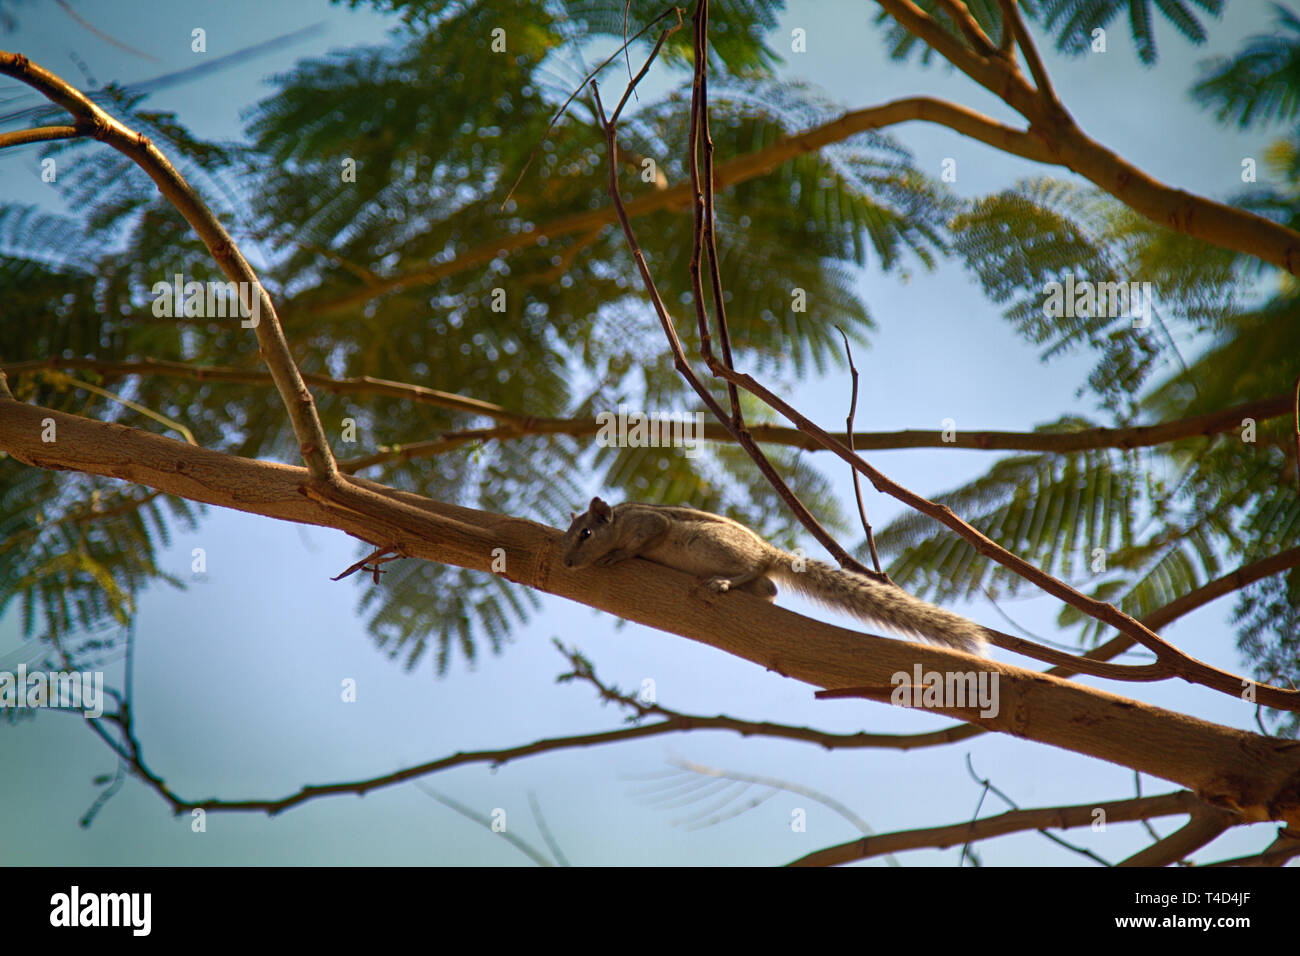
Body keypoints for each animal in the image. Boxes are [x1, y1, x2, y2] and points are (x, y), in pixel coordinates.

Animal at [560, 497, 987, 655]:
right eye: (567, 534)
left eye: (586, 534)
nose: (565, 563)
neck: (620, 519)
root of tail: (769, 552)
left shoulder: (650, 524)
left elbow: (643, 538)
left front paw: (616, 554)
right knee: (769, 588)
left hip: (714, 546)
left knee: (752, 571)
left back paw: (725, 582)